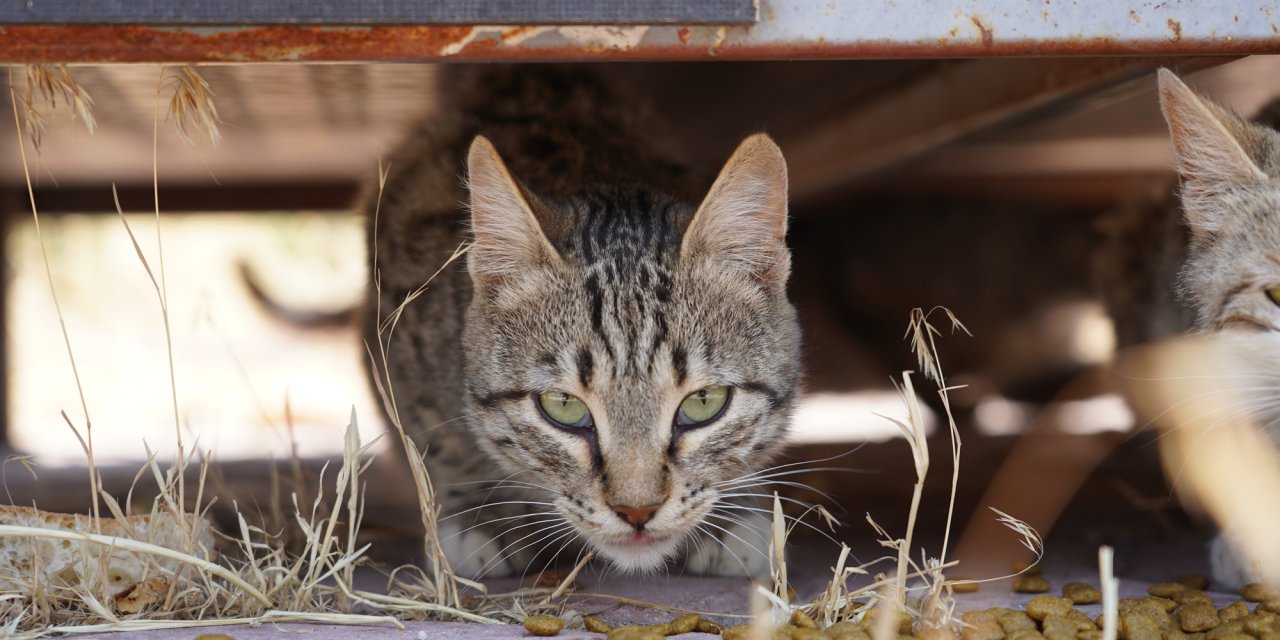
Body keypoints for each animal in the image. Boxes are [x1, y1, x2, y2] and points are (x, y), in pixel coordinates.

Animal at [363, 67, 798, 578]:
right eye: (563, 407)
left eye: (704, 402)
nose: (637, 511)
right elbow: (433, 437)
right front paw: (484, 515)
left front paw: (732, 514)